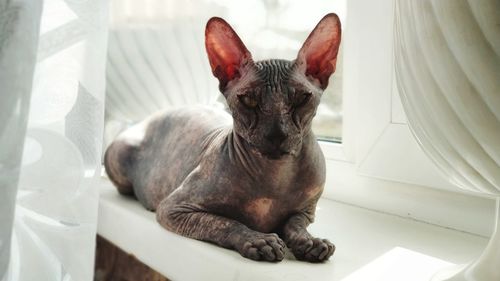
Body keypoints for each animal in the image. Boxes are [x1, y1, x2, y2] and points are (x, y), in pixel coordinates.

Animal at [104, 12, 342, 262]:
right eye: (249, 100)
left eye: (302, 99)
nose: (277, 134)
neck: (275, 176)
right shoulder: (174, 208)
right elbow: (225, 222)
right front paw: (258, 240)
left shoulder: (307, 212)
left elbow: (295, 224)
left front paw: (310, 241)